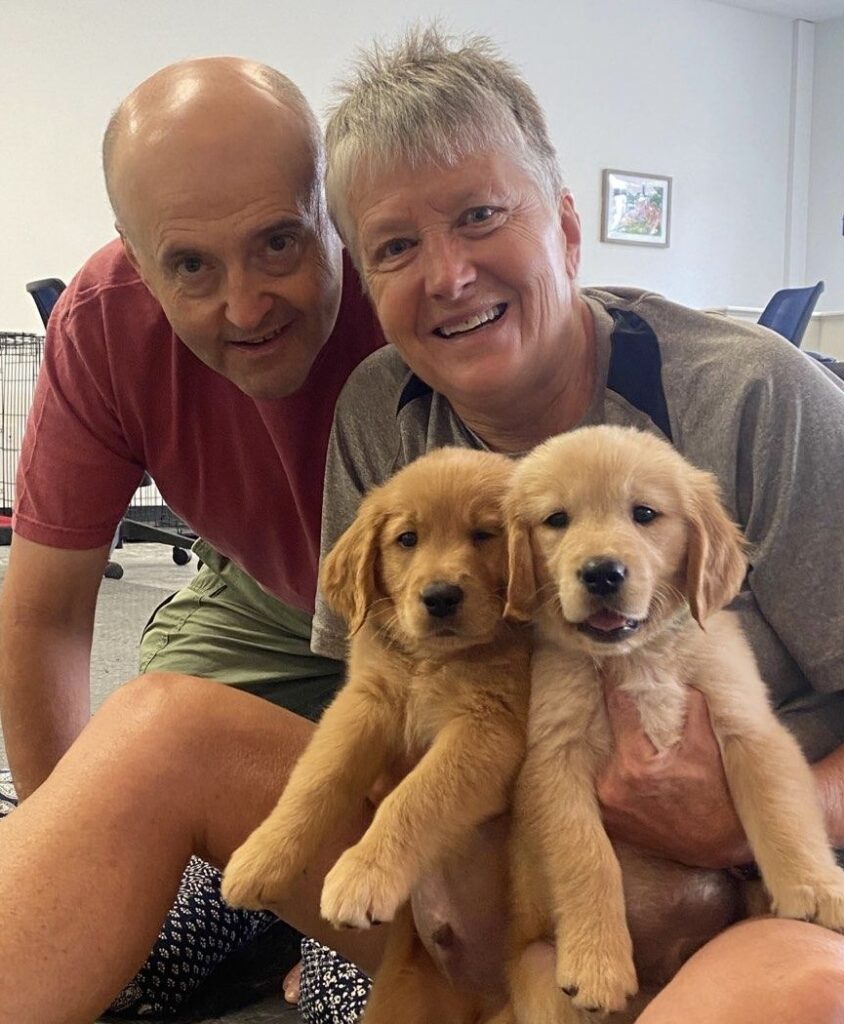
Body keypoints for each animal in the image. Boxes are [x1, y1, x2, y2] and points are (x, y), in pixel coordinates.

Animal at [222, 450, 528, 1024]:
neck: (433, 660)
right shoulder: (366, 702)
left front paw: (363, 875)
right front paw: (262, 857)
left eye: (485, 534)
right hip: (401, 997)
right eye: (407, 539)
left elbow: (416, 798)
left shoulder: (489, 728)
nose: (440, 597)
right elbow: (316, 779)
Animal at [497, 419, 844, 1019]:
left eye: (644, 513)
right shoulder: (554, 758)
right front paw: (598, 964)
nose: (602, 573)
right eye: (557, 520)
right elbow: (587, 856)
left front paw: (816, 889)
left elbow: (779, 807)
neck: (639, 656)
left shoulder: (747, 721)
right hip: (539, 971)